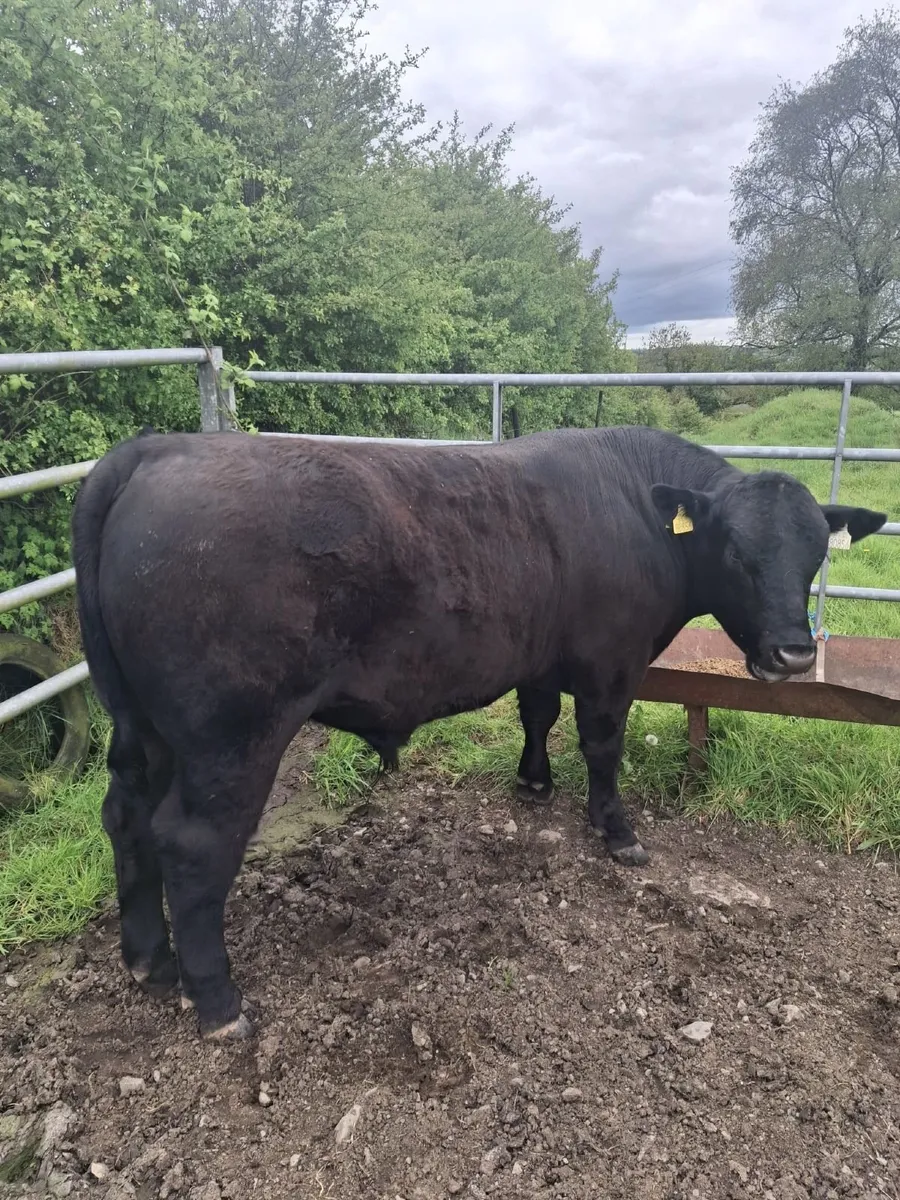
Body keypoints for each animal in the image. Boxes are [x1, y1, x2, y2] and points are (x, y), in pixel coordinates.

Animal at [72, 425, 885, 1039]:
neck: (632, 507)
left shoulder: (541, 655)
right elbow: (602, 745)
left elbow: (537, 714)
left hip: (142, 729)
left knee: (126, 817)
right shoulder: (610, 663)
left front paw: (533, 782)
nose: (793, 653)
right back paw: (217, 1001)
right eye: (737, 553)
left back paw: (148, 961)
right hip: (232, 736)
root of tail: (153, 451)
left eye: (815, 554)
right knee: (191, 844)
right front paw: (617, 831)